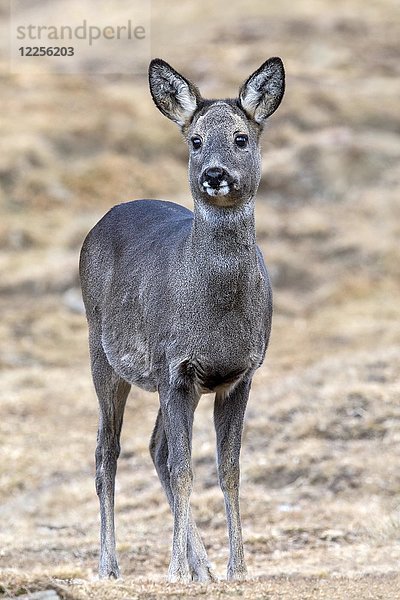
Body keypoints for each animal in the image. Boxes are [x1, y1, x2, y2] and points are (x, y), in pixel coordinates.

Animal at [79, 56, 284, 580]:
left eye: (241, 137)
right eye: (195, 140)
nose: (214, 173)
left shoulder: (240, 374)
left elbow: (228, 470)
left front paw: (237, 569)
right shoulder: (176, 367)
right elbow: (183, 467)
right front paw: (174, 570)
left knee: (153, 447)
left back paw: (203, 567)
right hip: (103, 352)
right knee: (107, 450)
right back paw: (109, 565)